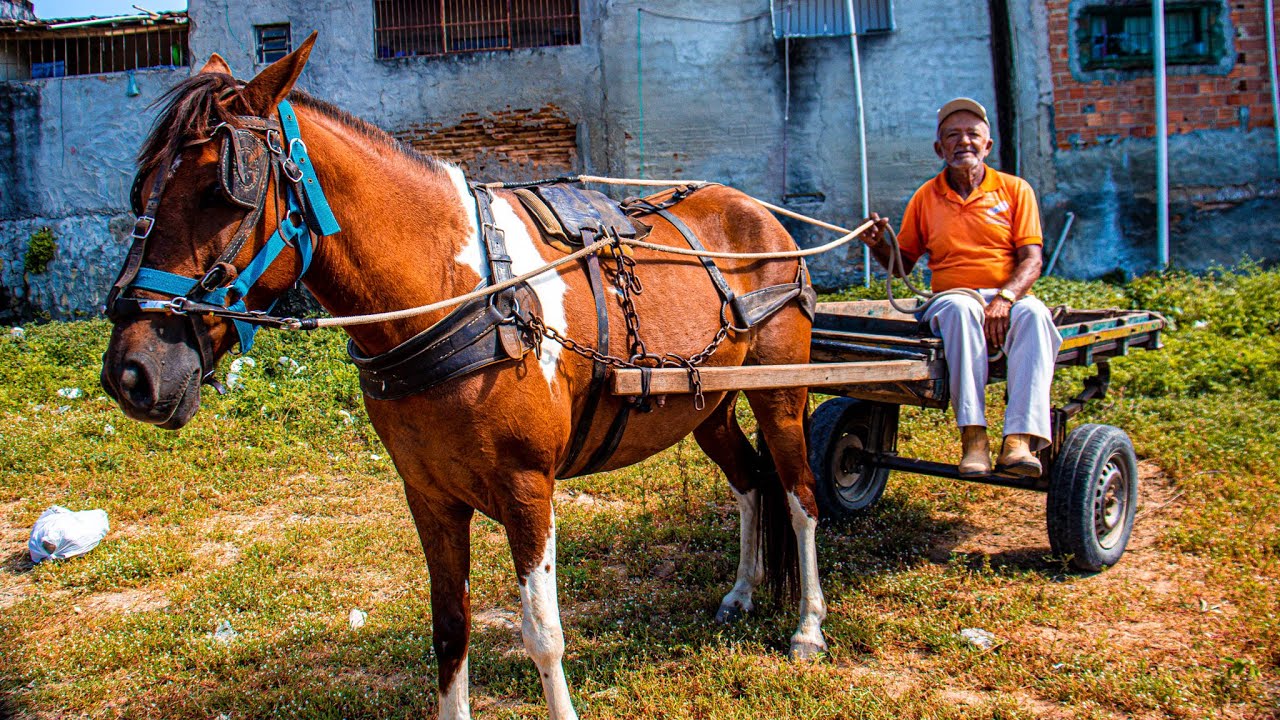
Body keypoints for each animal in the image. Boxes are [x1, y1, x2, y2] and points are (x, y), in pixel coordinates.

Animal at [100, 35, 827, 719]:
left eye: (223, 191)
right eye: (139, 191)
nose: (131, 374)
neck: (464, 291)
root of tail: (759, 214)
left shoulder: (528, 488)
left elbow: (543, 635)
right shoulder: (428, 494)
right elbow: (450, 629)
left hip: (781, 395)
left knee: (799, 497)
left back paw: (809, 626)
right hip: (708, 406)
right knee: (748, 483)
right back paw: (742, 591)